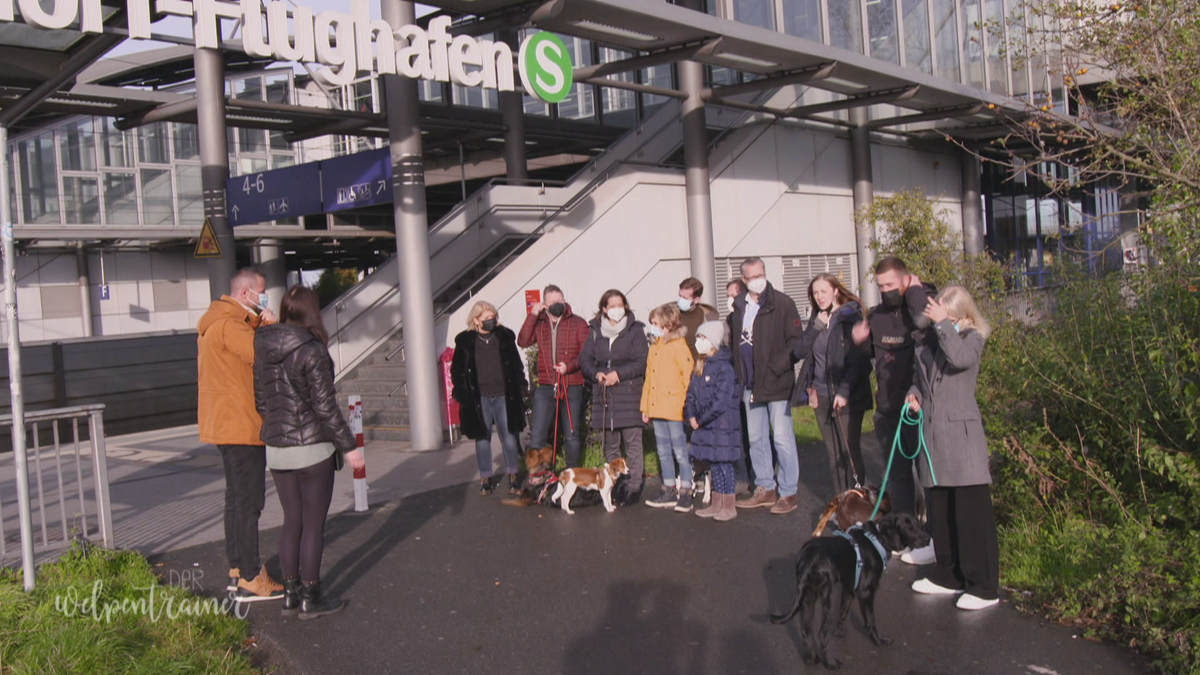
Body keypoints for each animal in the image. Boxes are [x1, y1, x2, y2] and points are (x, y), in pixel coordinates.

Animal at [772, 511, 931, 662]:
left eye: (918, 524)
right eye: (907, 526)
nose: (928, 539)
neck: (877, 539)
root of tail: (808, 559)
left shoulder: (849, 589)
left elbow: (844, 612)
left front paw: (840, 632)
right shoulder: (866, 592)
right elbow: (870, 620)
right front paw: (879, 640)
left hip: (808, 597)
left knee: (806, 631)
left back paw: (811, 659)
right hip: (827, 598)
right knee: (821, 634)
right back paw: (829, 662)